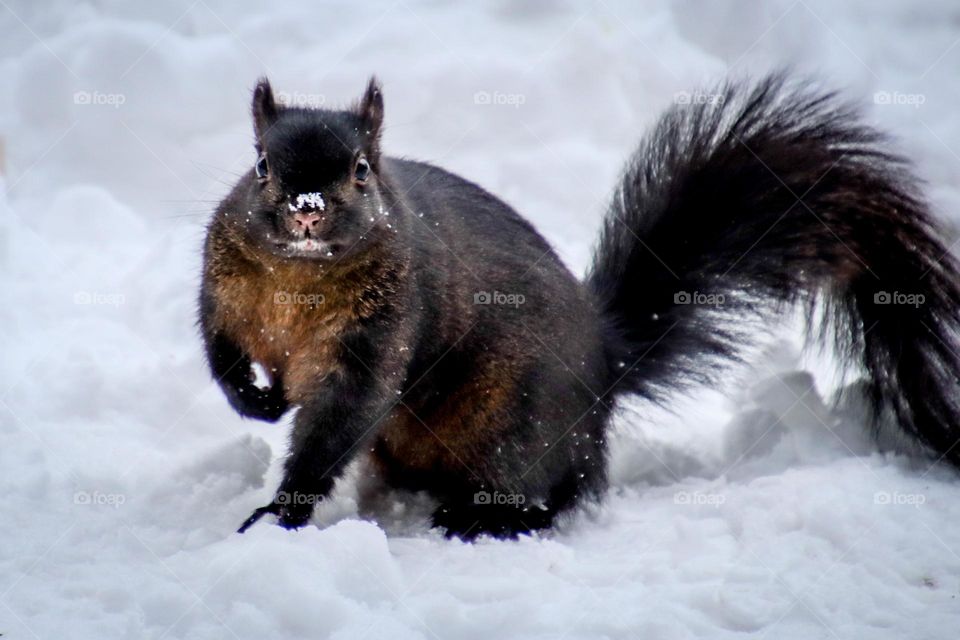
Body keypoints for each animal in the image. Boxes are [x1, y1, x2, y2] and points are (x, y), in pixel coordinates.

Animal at [199, 72, 960, 536]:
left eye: (361, 170)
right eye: (260, 164)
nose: (306, 209)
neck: (301, 279)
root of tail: (606, 370)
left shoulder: (383, 329)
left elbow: (340, 418)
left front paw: (280, 514)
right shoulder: (223, 291)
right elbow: (219, 351)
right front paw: (257, 400)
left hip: (518, 427)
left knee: (552, 493)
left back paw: (483, 520)